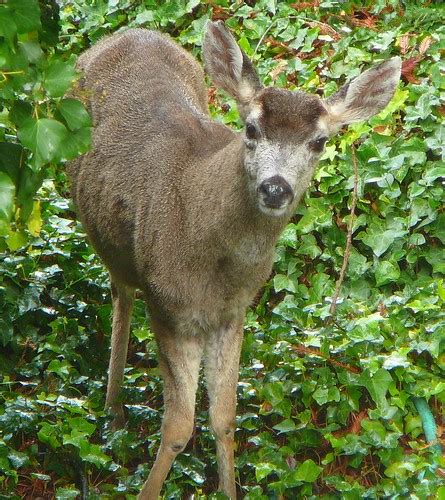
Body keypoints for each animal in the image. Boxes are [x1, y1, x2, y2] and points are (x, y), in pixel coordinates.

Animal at [67, 20, 402, 500]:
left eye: (320, 141)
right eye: (251, 129)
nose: (275, 188)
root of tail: (131, 32)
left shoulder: (234, 312)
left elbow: (224, 420)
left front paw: (229, 487)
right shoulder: (167, 305)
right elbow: (178, 427)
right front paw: (149, 489)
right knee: (120, 290)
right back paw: (112, 410)